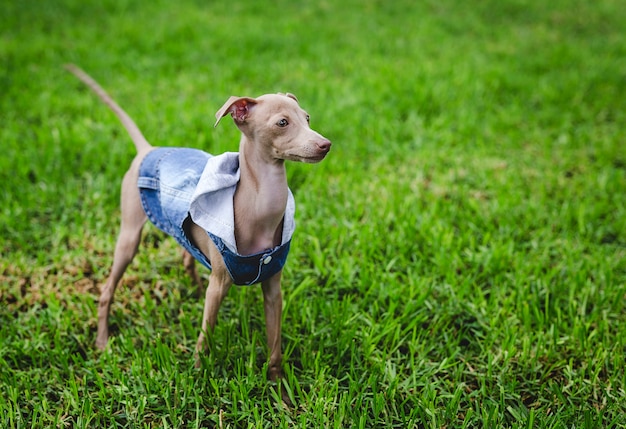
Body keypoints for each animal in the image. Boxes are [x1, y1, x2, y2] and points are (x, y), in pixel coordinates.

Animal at [66, 62, 332, 378]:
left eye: (307, 118)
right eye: (282, 123)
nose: (325, 144)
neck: (258, 208)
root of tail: (148, 150)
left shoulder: (273, 285)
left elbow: (275, 344)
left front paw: (278, 384)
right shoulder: (218, 284)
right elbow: (206, 334)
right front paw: (196, 371)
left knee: (186, 254)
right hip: (129, 236)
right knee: (108, 289)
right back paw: (102, 340)